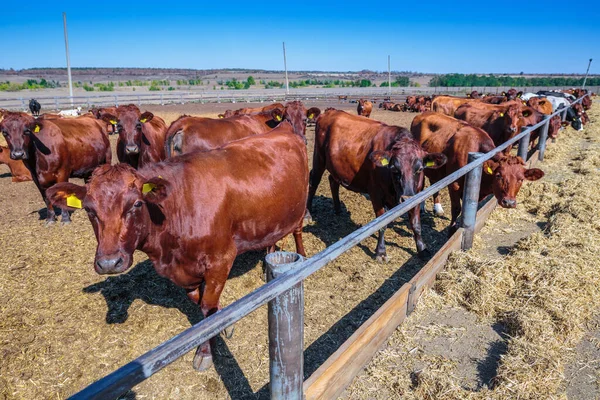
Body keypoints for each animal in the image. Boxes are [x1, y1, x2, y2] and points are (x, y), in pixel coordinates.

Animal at [47, 122, 310, 372]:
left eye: (137, 203)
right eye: (89, 209)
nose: (109, 262)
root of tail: (284, 128)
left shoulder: (221, 260)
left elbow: (207, 309)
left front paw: (205, 352)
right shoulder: (186, 272)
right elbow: (202, 304)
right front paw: (225, 325)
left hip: (299, 209)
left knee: (297, 231)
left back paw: (304, 257)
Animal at [310, 108, 446, 262]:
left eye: (420, 169)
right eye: (394, 168)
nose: (406, 198)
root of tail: (331, 111)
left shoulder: (416, 195)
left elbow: (416, 224)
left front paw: (422, 249)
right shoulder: (375, 194)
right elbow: (381, 224)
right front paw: (381, 252)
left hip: (336, 168)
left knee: (333, 181)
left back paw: (338, 208)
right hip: (319, 157)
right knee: (313, 180)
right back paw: (308, 213)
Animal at [412, 112, 544, 231]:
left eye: (521, 179)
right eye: (498, 175)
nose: (509, 202)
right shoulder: (454, 185)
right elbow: (456, 209)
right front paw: (452, 230)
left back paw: (438, 208)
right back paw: (422, 207)